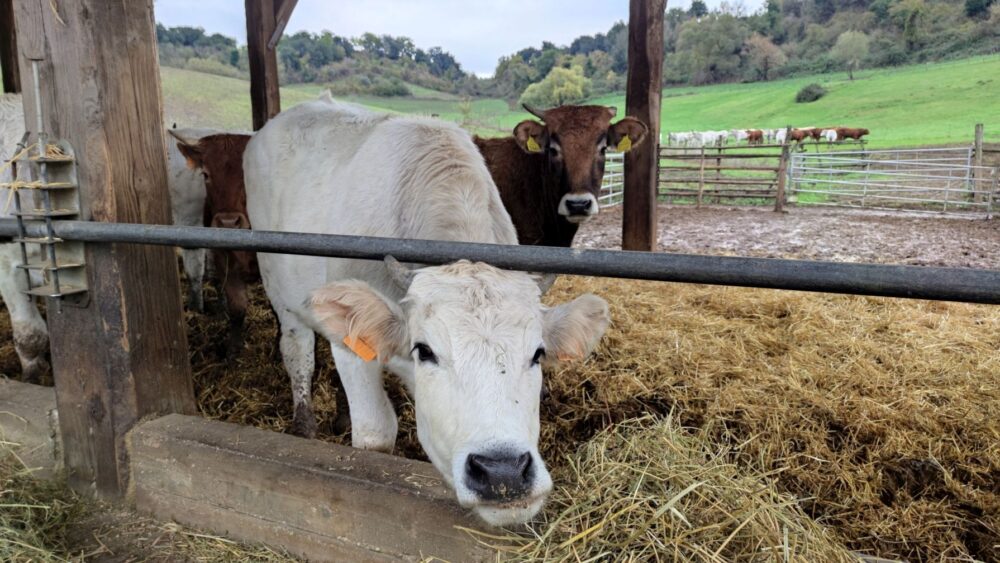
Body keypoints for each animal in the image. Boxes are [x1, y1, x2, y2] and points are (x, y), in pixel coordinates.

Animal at [246, 94, 612, 528]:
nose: (502, 473)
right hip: (280, 289)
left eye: (538, 354)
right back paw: (305, 424)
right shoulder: (352, 352)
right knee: (297, 351)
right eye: (425, 350)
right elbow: (375, 434)